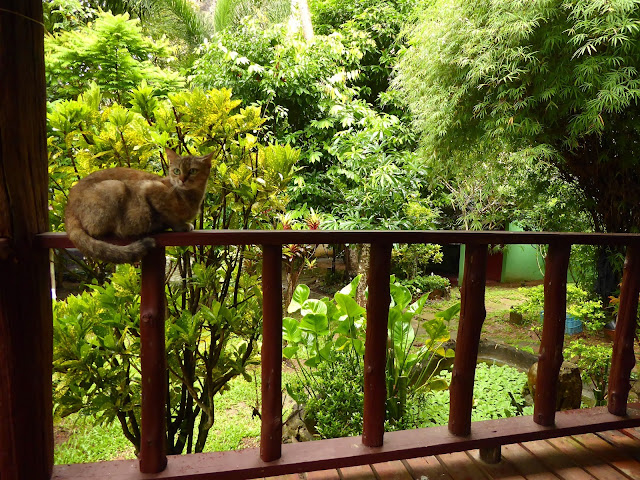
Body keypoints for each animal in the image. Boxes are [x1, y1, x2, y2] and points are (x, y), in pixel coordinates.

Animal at [66, 148, 214, 264]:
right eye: (177, 171)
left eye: (193, 171)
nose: (182, 180)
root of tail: (69, 206)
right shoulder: (150, 189)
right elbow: (170, 217)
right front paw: (182, 226)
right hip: (115, 187)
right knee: (95, 230)